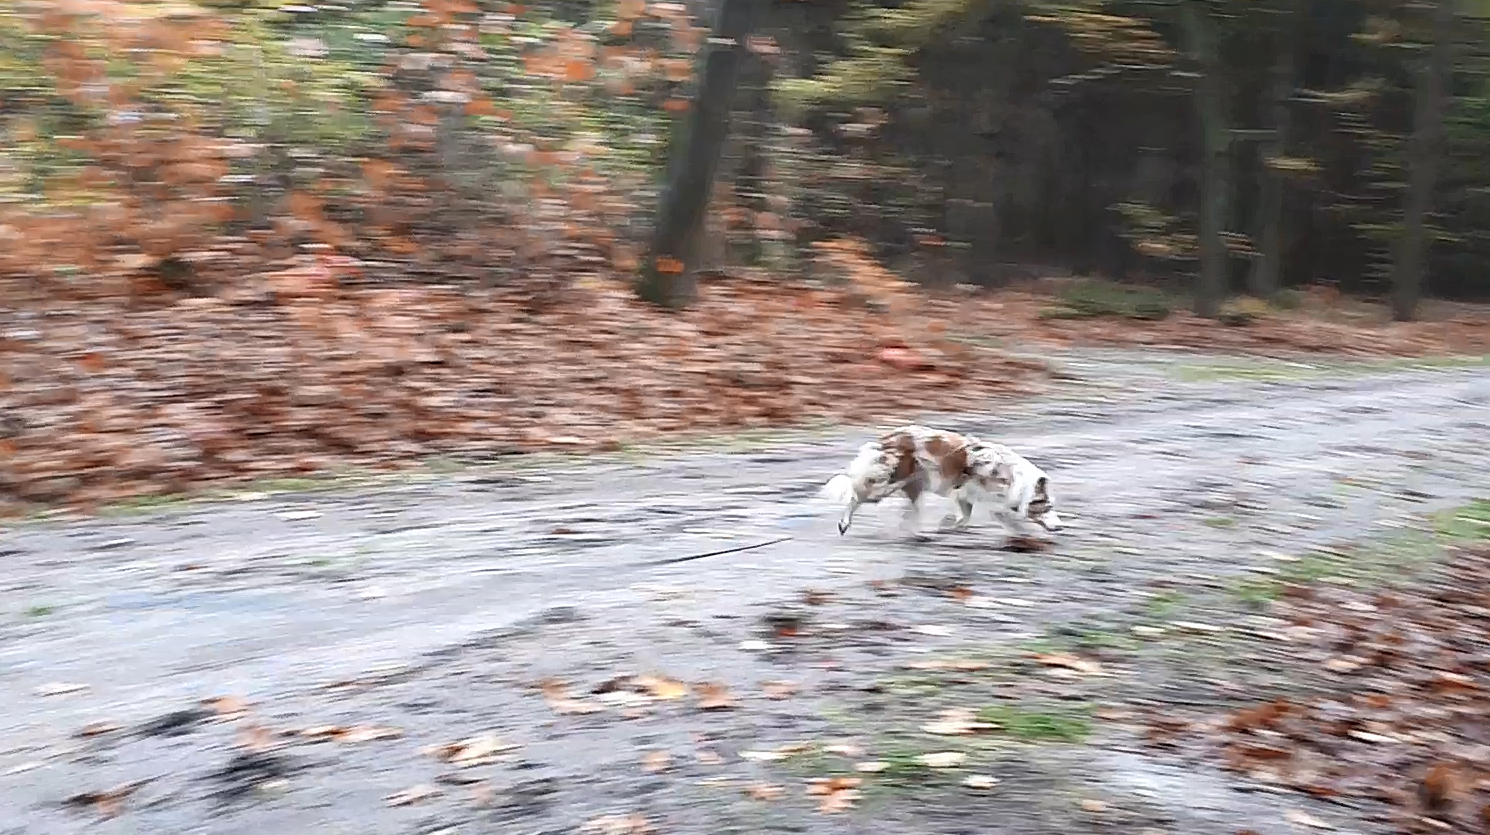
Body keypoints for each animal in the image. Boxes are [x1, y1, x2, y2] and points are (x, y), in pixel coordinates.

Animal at [819, 424, 1062, 538]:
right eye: (1047, 506)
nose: (1060, 527)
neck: (1014, 479)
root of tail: (889, 437)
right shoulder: (961, 491)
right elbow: (965, 518)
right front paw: (946, 524)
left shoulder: (974, 499)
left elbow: (971, 519)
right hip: (887, 485)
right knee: (855, 496)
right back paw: (844, 523)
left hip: (913, 486)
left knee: (910, 513)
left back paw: (914, 531)